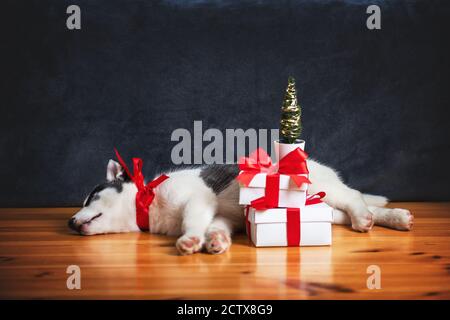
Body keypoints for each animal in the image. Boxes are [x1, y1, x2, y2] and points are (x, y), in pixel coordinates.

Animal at [67, 158, 414, 255]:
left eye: (91, 197)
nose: (70, 222)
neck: (148, 203)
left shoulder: (199, 200)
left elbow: (193, 220)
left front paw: (190, 239)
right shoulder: (219, 215)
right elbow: (217, 227)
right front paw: (216, 240)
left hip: (321, 187)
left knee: (353, 195)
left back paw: (365, 215)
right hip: (324, 206)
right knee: (345, 211)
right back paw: (394, 217)